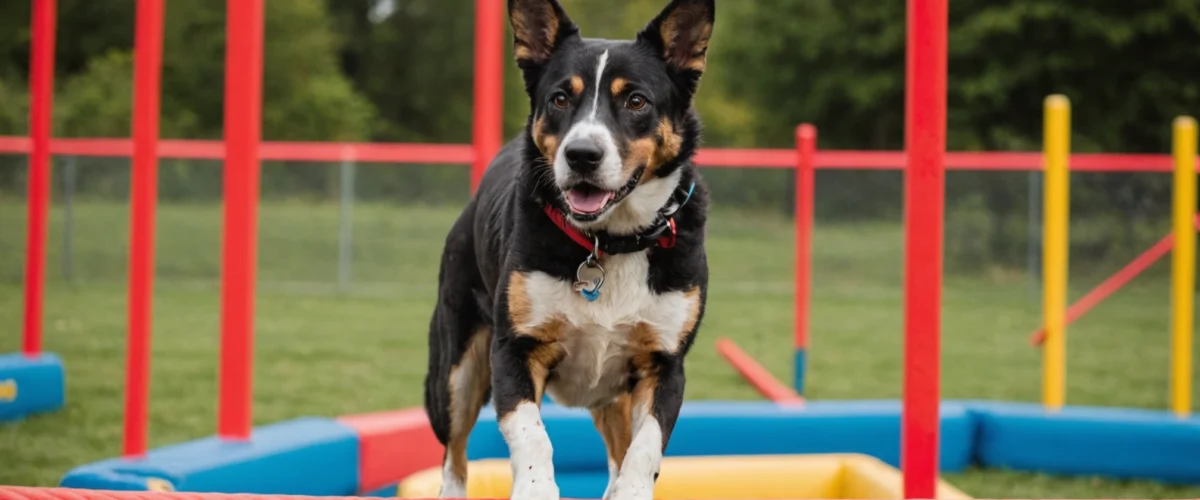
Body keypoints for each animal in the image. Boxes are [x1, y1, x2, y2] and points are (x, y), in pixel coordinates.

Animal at [424, 1, 710, 496]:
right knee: (454, 458)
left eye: (636, 100)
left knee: (618, 449)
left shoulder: (664, 364)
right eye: (560, 98)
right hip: (456, 372)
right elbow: (531, 435)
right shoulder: (515, 350)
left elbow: (645, 449)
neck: (610, 242)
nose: (581, 155)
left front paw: (631, 490)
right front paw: (535, 487)